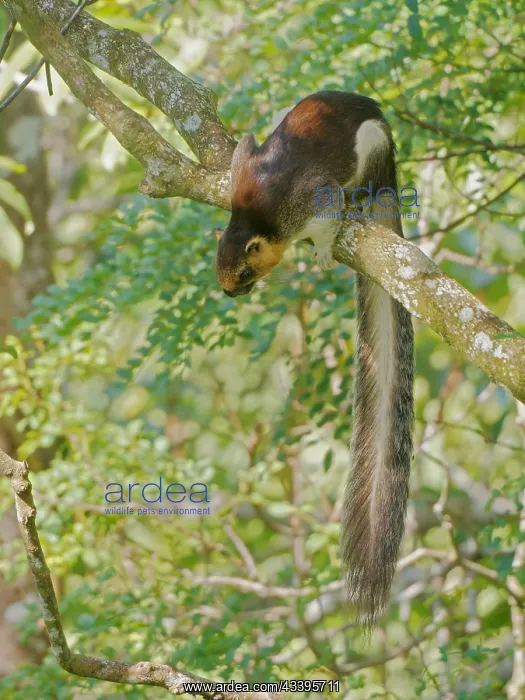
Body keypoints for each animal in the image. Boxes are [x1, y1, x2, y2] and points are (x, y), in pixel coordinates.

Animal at [215, 91, 414, 627]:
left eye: (245, 273)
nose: (231, 296)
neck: (256, 219)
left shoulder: (307, 200)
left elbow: (325, 222)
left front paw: (322, 249)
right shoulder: (245, 164)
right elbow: (243, 145)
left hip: (372, 146)